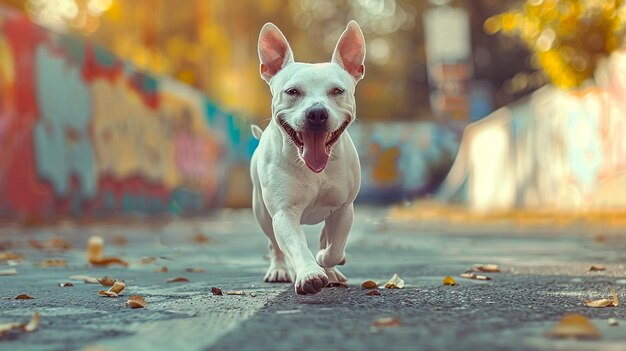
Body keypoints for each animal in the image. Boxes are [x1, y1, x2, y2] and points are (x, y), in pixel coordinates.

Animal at [249, 22, 364, 296]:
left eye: (337, 91)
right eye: (292, 91)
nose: (317, 113)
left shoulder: (343, 208)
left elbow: (335, 248)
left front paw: (326, 260)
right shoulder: (284, 212)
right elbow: (296, 244)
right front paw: (310, 274)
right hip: (262, 212)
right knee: (275, 245)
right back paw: (280, 269)